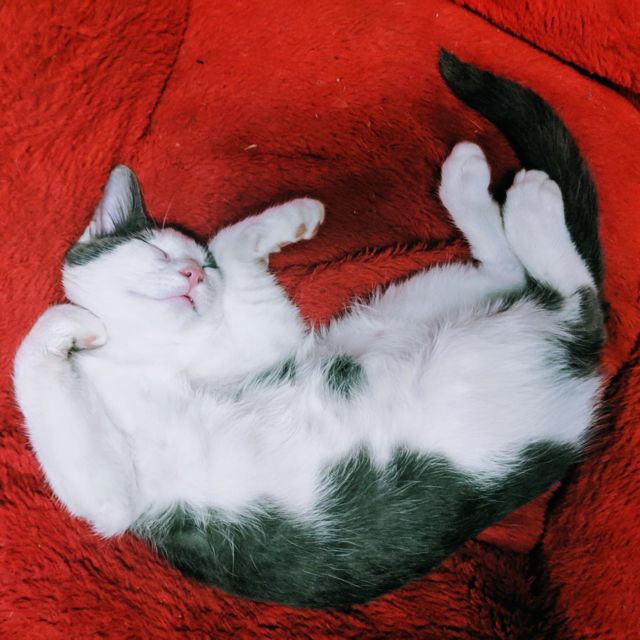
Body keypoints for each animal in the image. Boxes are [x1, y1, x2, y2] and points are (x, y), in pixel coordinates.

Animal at [13, 51, 605, 608]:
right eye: (157, 252)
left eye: (200, 266)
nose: (191, 276)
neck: (158, 358)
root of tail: (579, 387)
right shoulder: (118, 500)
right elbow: (39, 369)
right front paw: (76, 328)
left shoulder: (275, 344)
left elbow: (229, 245)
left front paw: (289, 218)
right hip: (406, 310)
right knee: (520, 279)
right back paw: (483, 186)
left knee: (579, 297)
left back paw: (525, 201)